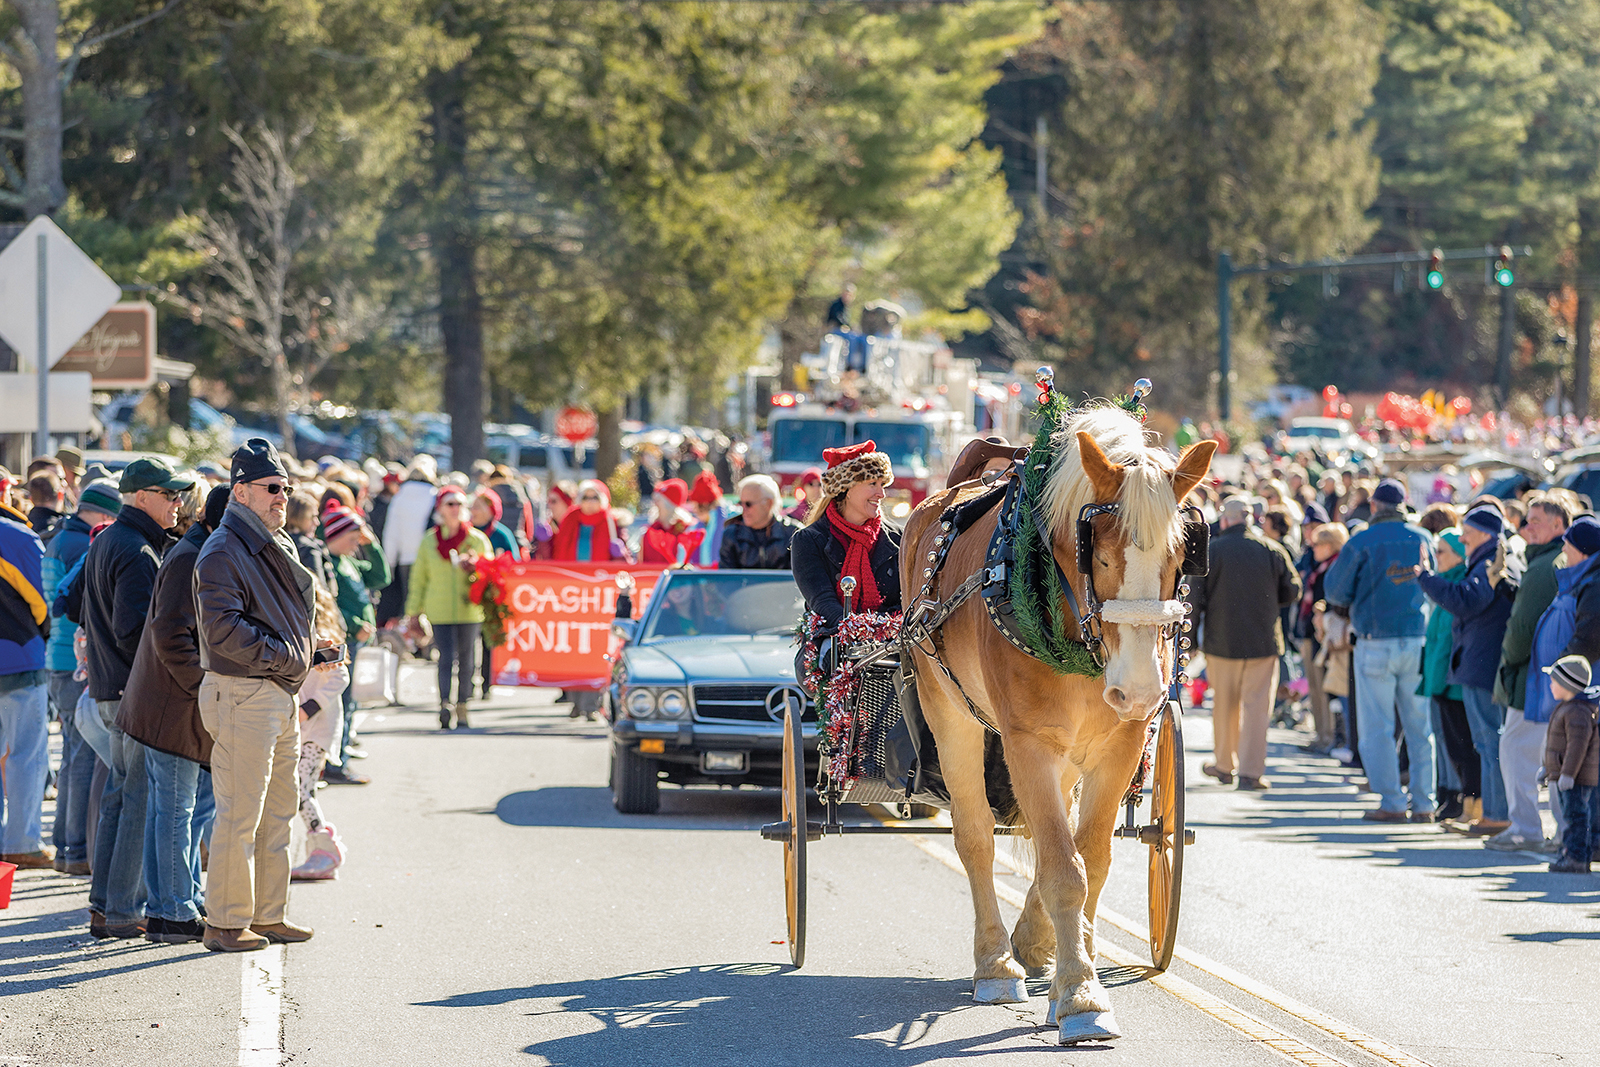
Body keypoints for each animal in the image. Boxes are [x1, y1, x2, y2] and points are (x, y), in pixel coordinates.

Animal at [902, 403, 1209, 1043]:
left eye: (1180, 558)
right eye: (1100, 555)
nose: (1139, 690)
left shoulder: (1119, 742)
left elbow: (1088, 858)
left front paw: (1076, 972)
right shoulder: (1028, 745)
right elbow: (1064, 869)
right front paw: (1080, 997)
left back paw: (1035, 943)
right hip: (950, 713)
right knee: (975, 835)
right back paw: (996, 963)